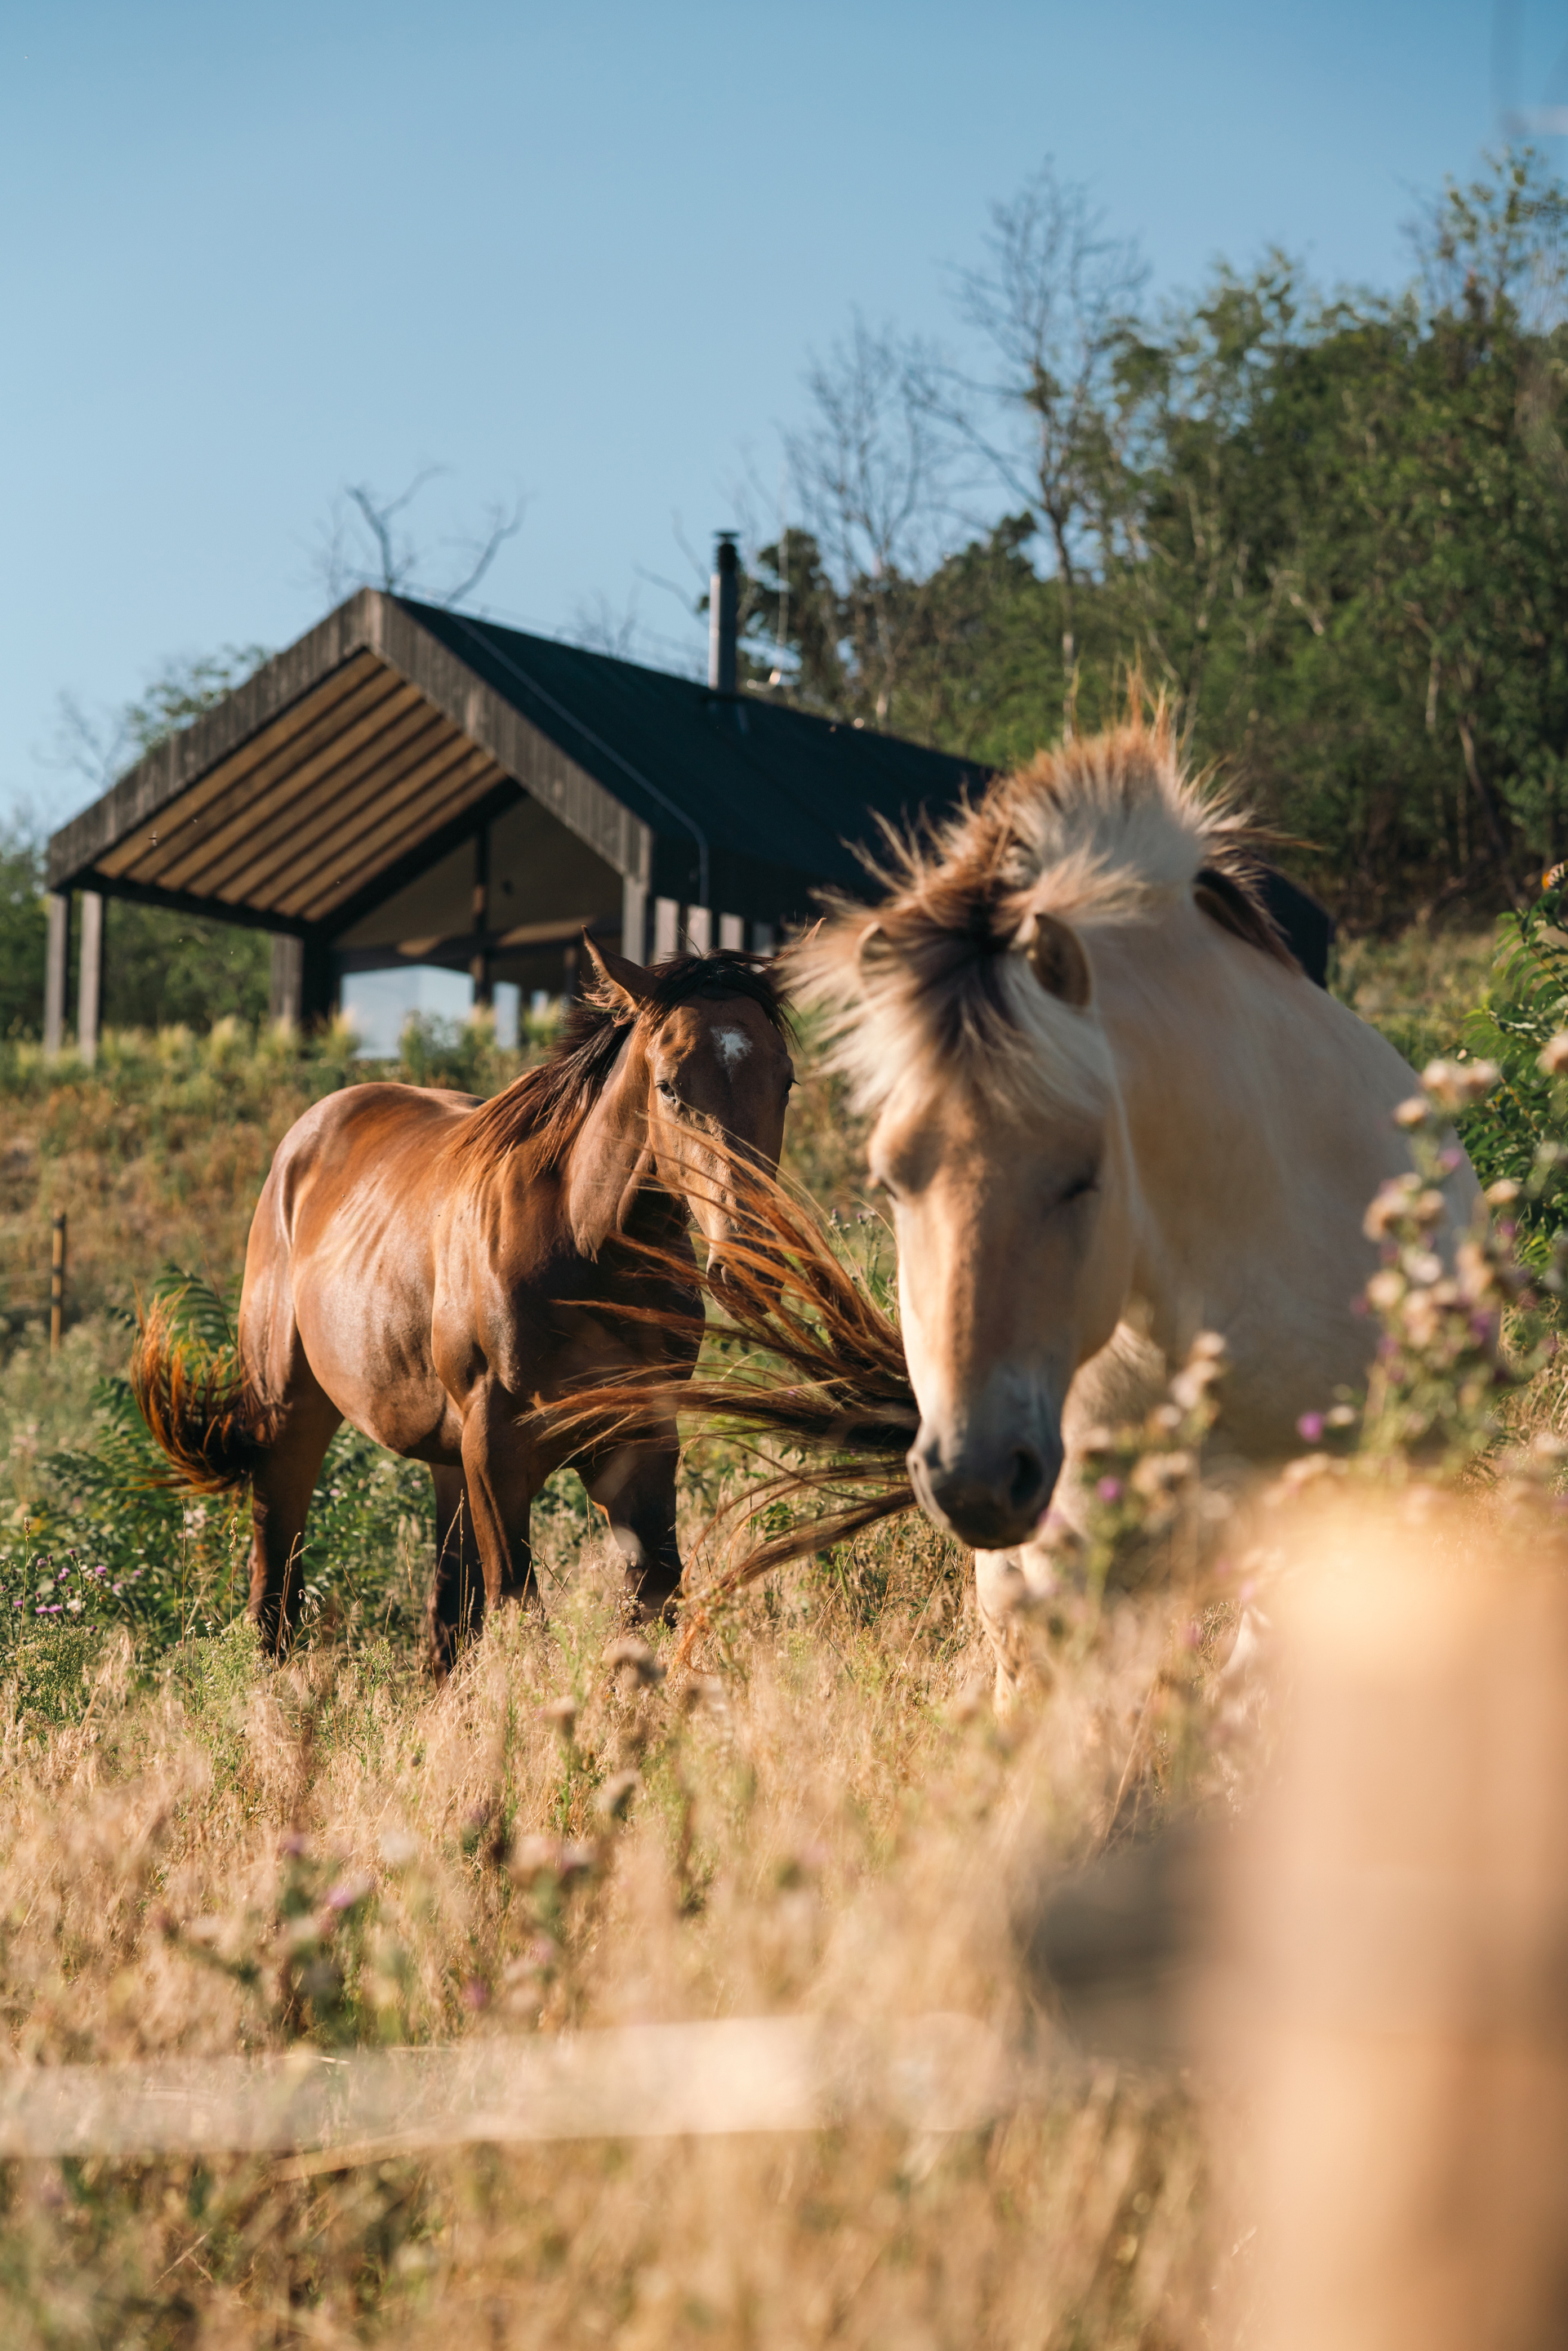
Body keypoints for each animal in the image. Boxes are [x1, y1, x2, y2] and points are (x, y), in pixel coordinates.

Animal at [133, 940, 794, 1668]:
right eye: (670, 1086)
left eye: (786, 1080)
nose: (751, 1267)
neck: (581, 1246)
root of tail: (302, 1143)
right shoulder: (496, 1447)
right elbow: (518, 1607)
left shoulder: (641, 1439)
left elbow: (653, 1599)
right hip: (290, 1421)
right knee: (274, 1589)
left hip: (448, 1462)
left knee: (445, 1617)